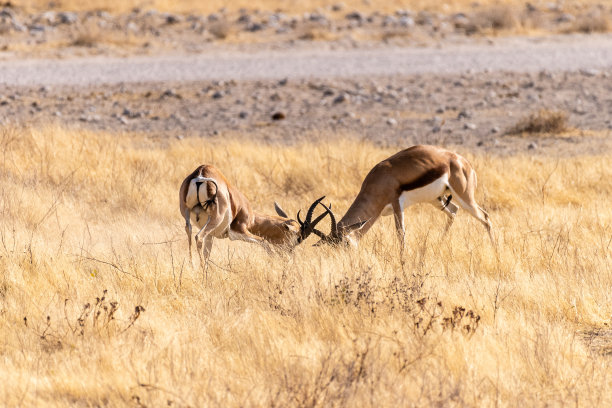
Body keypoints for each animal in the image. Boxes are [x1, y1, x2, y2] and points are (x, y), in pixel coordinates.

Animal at [178, 166, 328, 268]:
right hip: (215, 219)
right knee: (198, 236)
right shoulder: (237, 232)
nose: (289, 256)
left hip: (187, 213)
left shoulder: (212, 235)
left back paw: (192, 266)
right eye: (298, 238)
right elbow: (264, 242)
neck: (251, 217)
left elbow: (207, 254)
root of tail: (201, 174)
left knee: (189, 231)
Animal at [314, 145, 494, 250]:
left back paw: (494, 250)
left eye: (345, 244)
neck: (379, 179)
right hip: (436, 199)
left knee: (485, 217)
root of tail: (464, 163)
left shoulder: (396, 204)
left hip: (465, 198)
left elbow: (401, 233)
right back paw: (440, 245)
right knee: (454, 211)